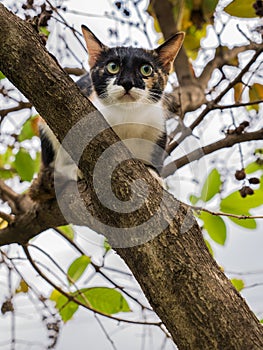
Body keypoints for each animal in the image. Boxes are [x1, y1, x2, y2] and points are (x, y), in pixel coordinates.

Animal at [39, 24, 185, 183]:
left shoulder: (157, 131)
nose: (127, 82)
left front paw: (153, 174)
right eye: (113, 67)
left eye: (146, 69)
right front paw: (76, 168)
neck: (127, 117)